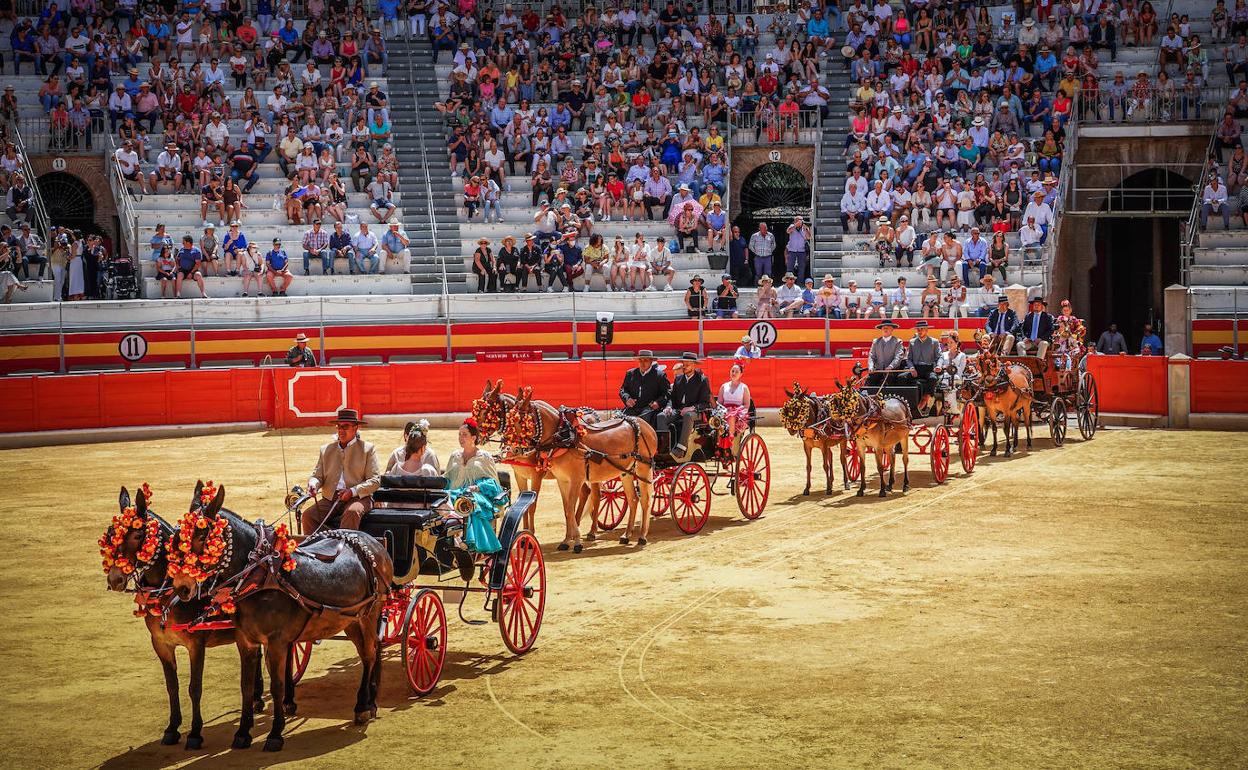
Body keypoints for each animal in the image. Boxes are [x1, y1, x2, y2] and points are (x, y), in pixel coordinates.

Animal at [100, 486, 287, 748]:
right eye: (110, 534)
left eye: (137, 535)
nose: (115, 579)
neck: (167, 594)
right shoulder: (161, 644)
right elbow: (172, 686)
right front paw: (172, 728)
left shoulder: (196, 644)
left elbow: (194, 687)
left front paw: (195, 733)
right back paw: (258, 698)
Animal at [164, 479, 389, 748]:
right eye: (177, 535)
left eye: (201, 535)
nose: (181, 586)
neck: (259, 574)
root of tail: (373, 542)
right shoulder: (246, 641)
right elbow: (246, 685)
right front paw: (243, 732)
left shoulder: (277, 642)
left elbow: (278, 685)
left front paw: (275, 733)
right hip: (350, 620)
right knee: (370, 651)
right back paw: (371, 700)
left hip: (370, 614)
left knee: (370, 654)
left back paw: (364, 705)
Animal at [509, 386, 658, 549]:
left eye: (522, 421)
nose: (514, 450)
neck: (564, 438)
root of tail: (643, 424)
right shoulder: (562, 480)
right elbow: (567, 509)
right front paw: (567, 540)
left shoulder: (576, 479)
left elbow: (570, 508)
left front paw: (577, 542)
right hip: (626, 472)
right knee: (632, 499)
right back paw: (626, 535)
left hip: (644, 468)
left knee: (645, 499)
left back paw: (642, 536)